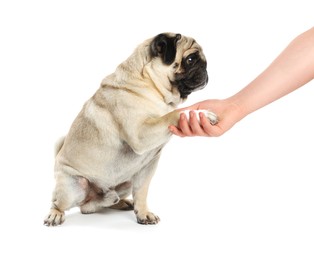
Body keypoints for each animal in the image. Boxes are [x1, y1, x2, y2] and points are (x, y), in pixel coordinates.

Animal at [43, 32, 216, 226]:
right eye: (191, 59)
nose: (206, 67)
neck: (149, 84)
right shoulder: (140, 135)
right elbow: (173, 114)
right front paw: (199, 113)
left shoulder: (148, 167)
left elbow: (142, 191)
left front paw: (143, 213)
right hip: (72, 187)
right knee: (59, 203)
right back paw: (55, 214)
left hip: (125, 184)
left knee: (97, 205)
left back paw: (121, 202)